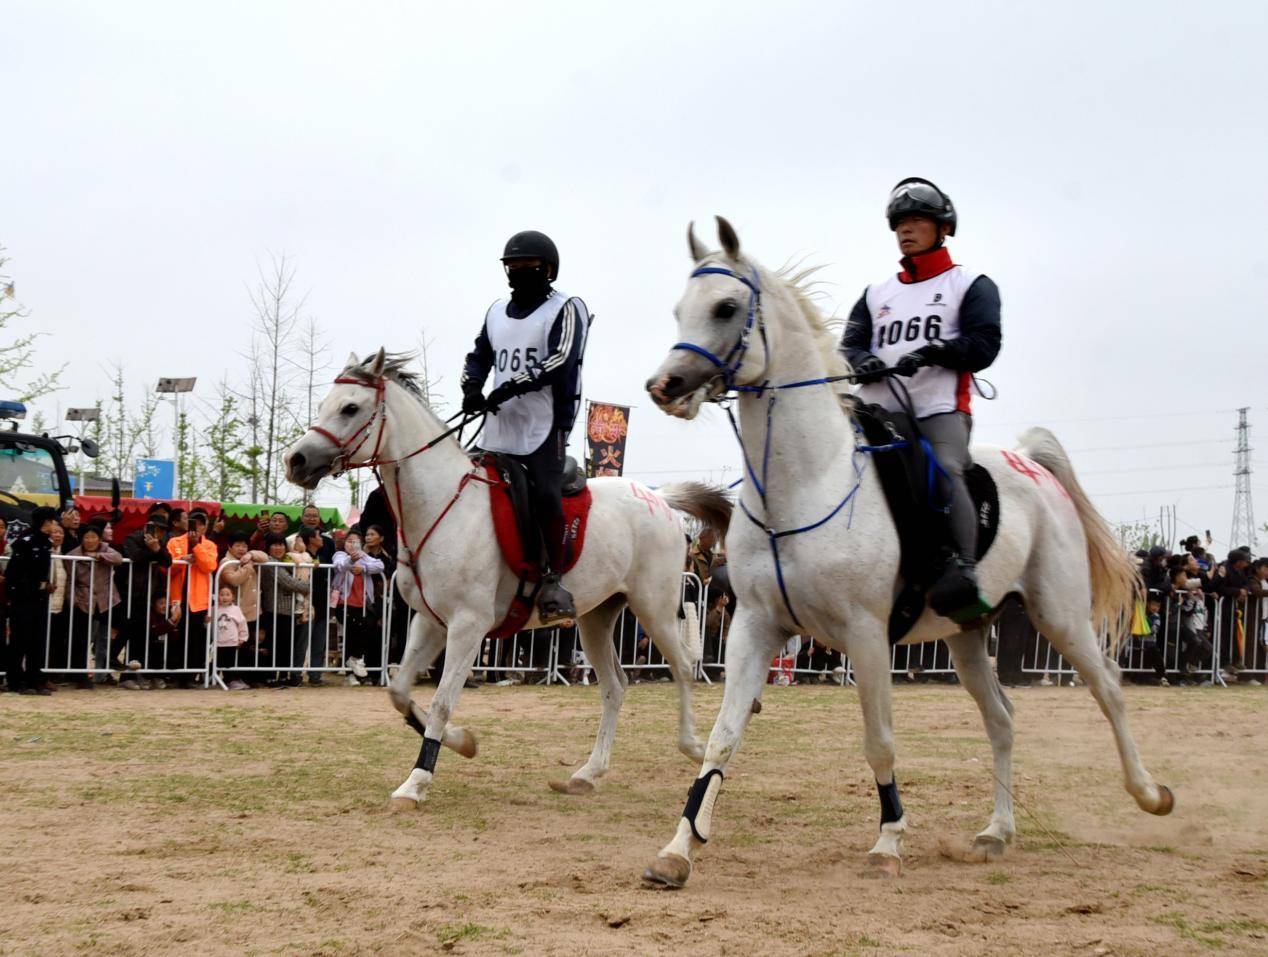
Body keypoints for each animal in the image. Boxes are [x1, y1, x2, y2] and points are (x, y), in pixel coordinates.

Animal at [282, 352, 730, 806]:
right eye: (324, 405)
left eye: (350, 408)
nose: (296, 461)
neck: (444, 504)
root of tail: (659, 498)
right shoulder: (429, 622)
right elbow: (400, 692)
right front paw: (462, 742)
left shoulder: (468, 625)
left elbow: (442, 701)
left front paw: (417, 780)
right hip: (596, 618)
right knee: (615, 686)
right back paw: (587, 773)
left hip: (654, 608)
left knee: (684, 668)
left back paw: (694, 747)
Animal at [639, 219, 1171, 892]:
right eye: (679, 309)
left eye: (727, 308)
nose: (665, 387)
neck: (807, 483)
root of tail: (1030, 464)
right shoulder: (754, 629)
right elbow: (722, 739)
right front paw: (678, 850)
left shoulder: (866, 635)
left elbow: (880, 741)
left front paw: (889, 840)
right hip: (968, 635)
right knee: (1002, 718)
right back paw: (996, 833)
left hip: (1061, 617)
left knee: (1109, 691)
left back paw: (1150, 794)